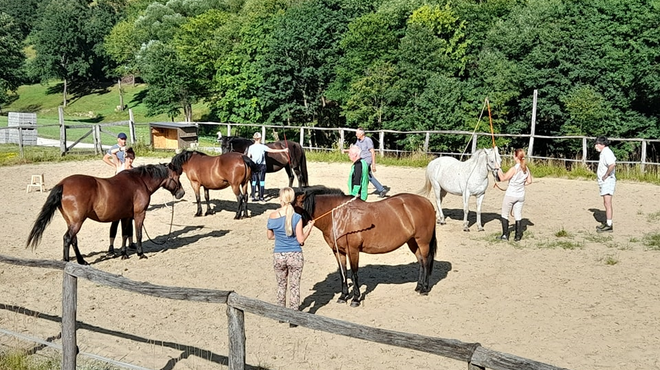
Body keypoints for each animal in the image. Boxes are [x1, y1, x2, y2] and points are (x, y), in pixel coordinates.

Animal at [26, 163, 184, 264]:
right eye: (177, 177)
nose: (181, 193)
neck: (140, 182)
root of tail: (63, 184)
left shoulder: (126, 216)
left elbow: (125, 234)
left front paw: (124, 254)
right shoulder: (139, 214)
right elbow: (138, 234)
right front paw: (140, 253)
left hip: (71, 222)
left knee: (73, 240)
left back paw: (82, 261)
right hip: (77, 222)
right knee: (67, 238)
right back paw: (68, 261)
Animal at [294, 188, 438, 306]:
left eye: (294, 210)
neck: (339, 216)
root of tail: (428, 203)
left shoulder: (353, 251)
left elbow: (354, 274)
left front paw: (355, 299)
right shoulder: (338, 251)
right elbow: (343, 273)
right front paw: (343, 296)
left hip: (423, 242)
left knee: (426, 262)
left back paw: (424, 289)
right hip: (412, 242)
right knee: (421, 262)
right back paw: (418, 286)